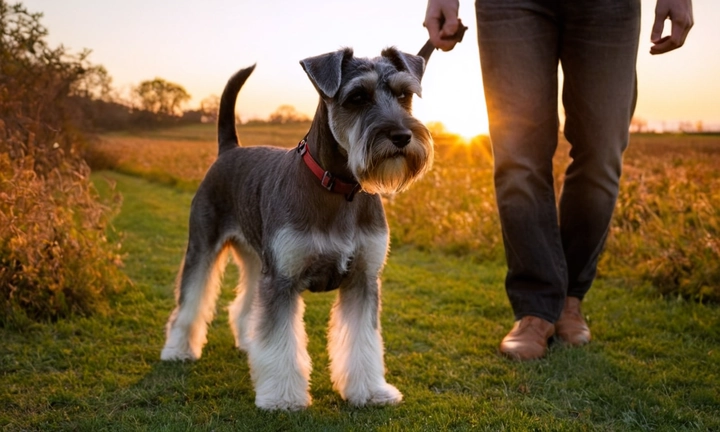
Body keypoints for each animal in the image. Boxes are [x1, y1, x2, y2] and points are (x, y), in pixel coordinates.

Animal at [160, 48, 434, 412]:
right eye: (357, 97)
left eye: (404, 95)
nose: (402, 136)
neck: (338, 187)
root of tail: (229, 150)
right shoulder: (283, 279)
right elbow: (280, 339)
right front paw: (282, 397)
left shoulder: (363, 279)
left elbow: (363, 340)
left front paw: (370, 390)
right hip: (203, 246)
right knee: (191, 298)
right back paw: (178, 350)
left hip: (256, 259)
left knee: (246, 304)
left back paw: (248, 341)